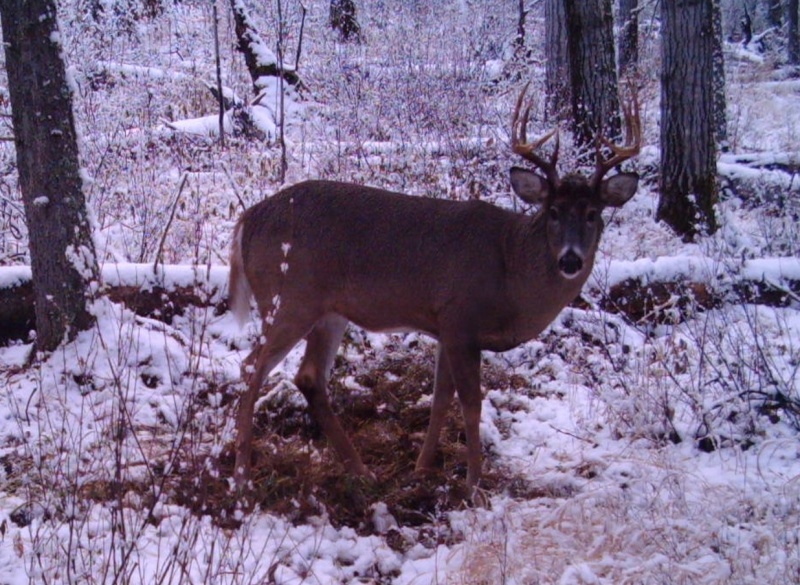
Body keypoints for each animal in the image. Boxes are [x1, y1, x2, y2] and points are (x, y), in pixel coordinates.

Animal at [228, 82, 640, 492]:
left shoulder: (445, 326)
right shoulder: (461, 318)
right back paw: (242, 473)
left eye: (593, 213)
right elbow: (471, 403)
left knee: (309, 376)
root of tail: (249, 217)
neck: (510, 272)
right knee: (251, 367)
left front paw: (421, 468)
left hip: (328, 311)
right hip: (288, 297)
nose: (570, 260)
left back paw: (360, 470)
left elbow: (441, 397)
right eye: (552, 211)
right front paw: (474, 484)